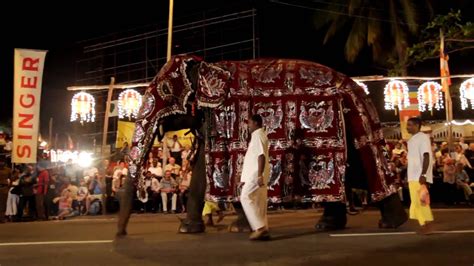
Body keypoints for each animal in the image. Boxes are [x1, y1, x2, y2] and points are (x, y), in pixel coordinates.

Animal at [115, 55, 408, 236]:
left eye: (165, 92)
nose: (121, 234)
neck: (208, 66)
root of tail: (357, 88)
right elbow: (200, 172)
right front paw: (188, 230)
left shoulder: (231, 117)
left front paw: (239, 228)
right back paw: (330, 225)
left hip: (356, 118)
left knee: (368, 166)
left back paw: (390, 224)